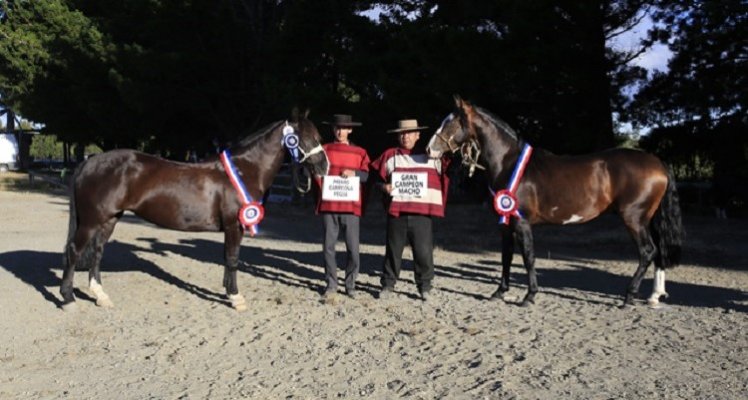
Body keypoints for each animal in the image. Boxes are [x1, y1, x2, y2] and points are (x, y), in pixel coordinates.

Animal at [62, 110, 332, 312]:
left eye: (317, 136)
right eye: (305, 138)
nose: (323, 167)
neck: (245, 169)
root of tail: (89, 161)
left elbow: (227, 258)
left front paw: (228, 292)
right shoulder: (235, 225)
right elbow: (233, 258)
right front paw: (236, 298)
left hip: (109, 219)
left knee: (97, 252)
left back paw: (101, 296)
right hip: (91, 221)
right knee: (75, 251)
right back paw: (67, 298)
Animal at [426, 96, 684, 306]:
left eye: (451, 123)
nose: (429, 149)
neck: (509, 162)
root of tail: (658, 163)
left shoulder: (521, 222)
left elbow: (528, 257)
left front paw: (529, 296)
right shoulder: (506, 223)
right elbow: (506, 256)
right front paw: (499, 292)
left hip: (634, 219)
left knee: (647, 252)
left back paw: (629, 296)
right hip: (648, 220)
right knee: (657, 253)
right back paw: (652, 296)